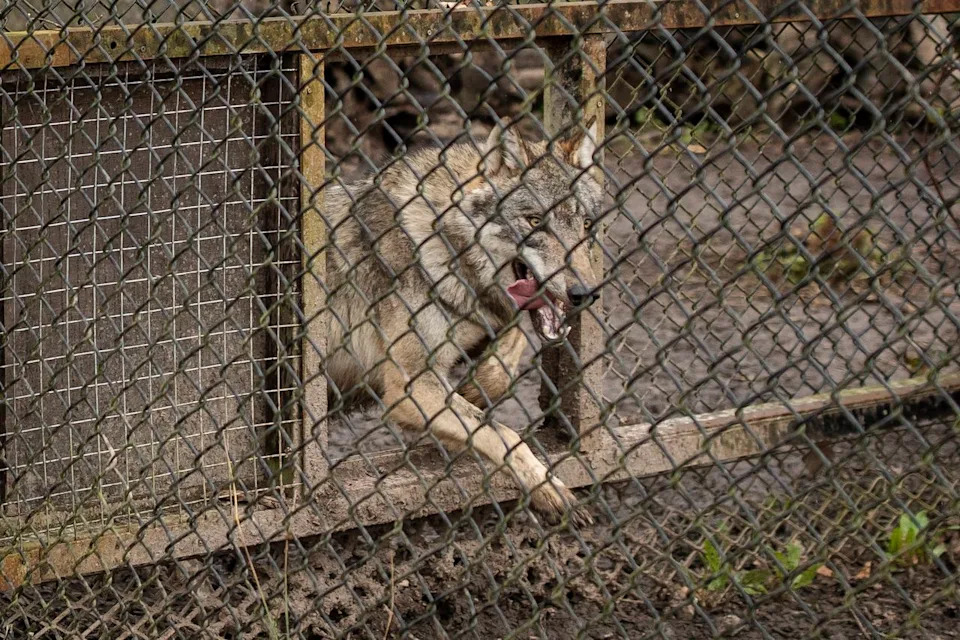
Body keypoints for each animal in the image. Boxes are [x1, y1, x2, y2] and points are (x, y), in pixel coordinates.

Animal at [321, 121, 601, 523]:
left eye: (586, 224)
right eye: (535, 221)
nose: (584, 293)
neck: (444, 241)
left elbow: (510, 344)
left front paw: (476, 387)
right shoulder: (410, 388)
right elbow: (505, 436)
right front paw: (549, 489)